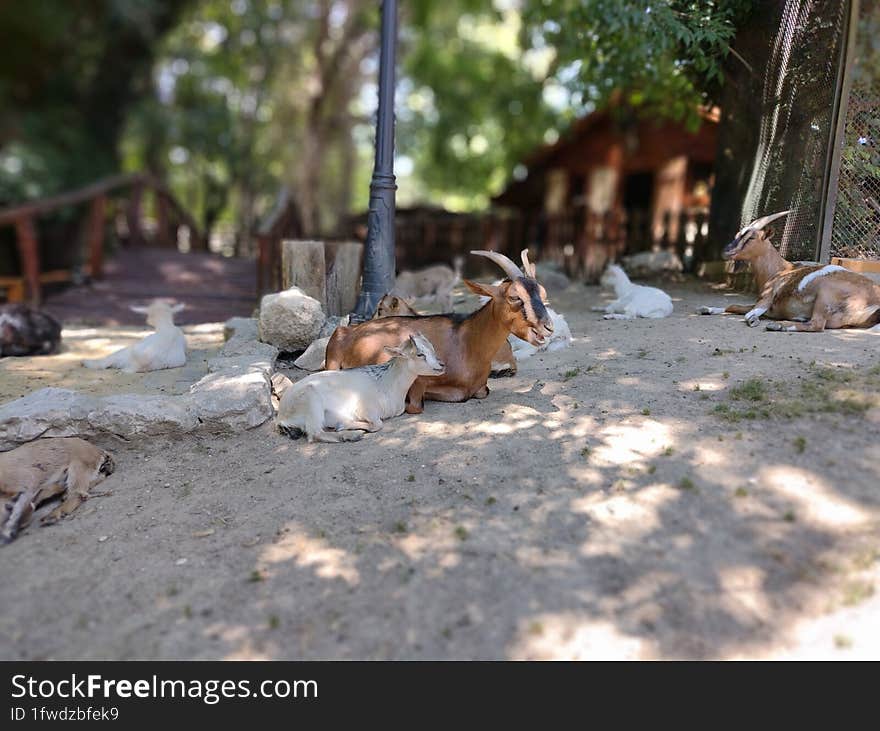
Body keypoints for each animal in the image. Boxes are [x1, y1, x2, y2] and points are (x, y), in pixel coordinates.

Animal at [276, 334, 444, 446]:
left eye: (432, 349)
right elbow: (378, 425)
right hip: (311, 399)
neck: (386, 383)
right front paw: (347, 426)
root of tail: (281, 416)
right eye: (420, 354)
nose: (442, 365)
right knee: (314, 434)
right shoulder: (365, 409)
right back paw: (352, 435)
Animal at [326, 250, 552, 412]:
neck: (468, 343)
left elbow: (483, 391)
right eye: (514, 297)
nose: (548, 327)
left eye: (542, 293)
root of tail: (347, 331)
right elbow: (415, 405)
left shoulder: (480, 388)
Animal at [700, 210, 880, 334]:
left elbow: (747, 314)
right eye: (738, 235)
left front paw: (754, 320)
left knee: (816, 325)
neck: (780, 270)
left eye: (751, 238)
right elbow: (733, 305)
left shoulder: (766, 299)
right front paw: (707, 309)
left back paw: (778, 325)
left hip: (825, 294)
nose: (726, 251)